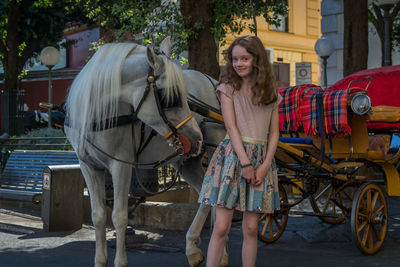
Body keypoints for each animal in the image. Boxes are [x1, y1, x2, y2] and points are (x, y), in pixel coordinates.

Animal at [65, 38, 205, 267]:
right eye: (171, 97)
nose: (197, 138)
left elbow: (119, 217)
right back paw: (196, 249)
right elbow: (99, 216)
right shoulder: (88, 166)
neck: (98, 116)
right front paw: (100, 260)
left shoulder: (121, 165)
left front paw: (120, 261)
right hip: (187, 163)